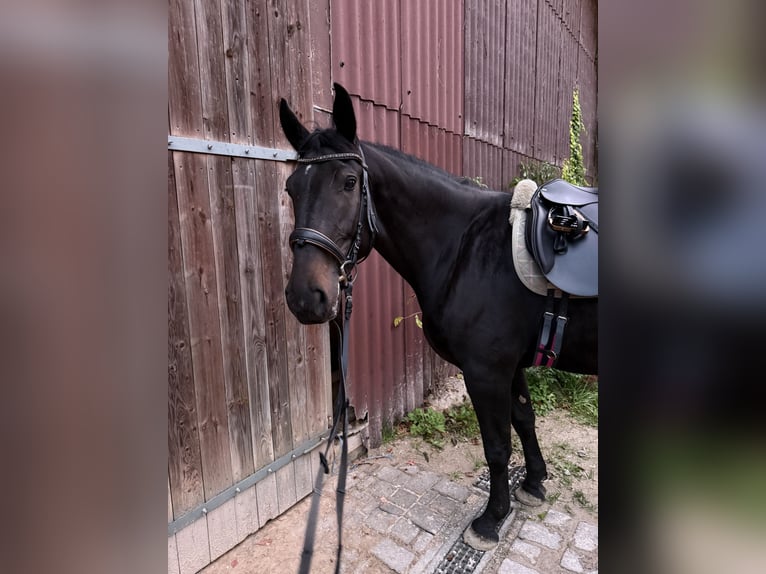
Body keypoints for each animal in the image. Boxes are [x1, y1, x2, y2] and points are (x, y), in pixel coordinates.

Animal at [280, 83, 596, 552]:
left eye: (349, 183)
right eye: (291, 188)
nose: (305, 297)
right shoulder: (510, 365)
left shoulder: (485, 372)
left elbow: (497, 446)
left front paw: (491, 520)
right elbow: (524, 419)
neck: (467, 247)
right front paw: (534, 483)